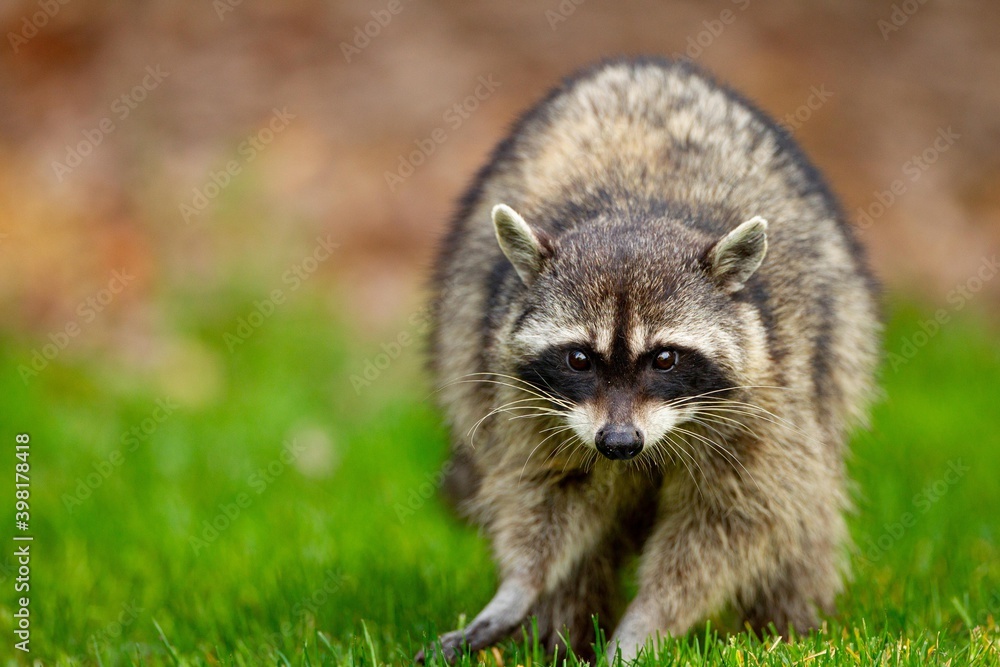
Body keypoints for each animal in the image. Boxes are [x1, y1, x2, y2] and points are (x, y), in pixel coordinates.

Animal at [421, 57, 880, 663]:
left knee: (803, 520)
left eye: (664, 358)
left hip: (832, 352)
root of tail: (642, 66)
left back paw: (790, 627)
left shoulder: (771, 396)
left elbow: (734, 524)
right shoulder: (524, 402)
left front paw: (646, 624)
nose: (619, 444)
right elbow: (547, 492)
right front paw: (522, 584)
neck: (636, 210)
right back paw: (563, 632)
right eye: (579, 359)